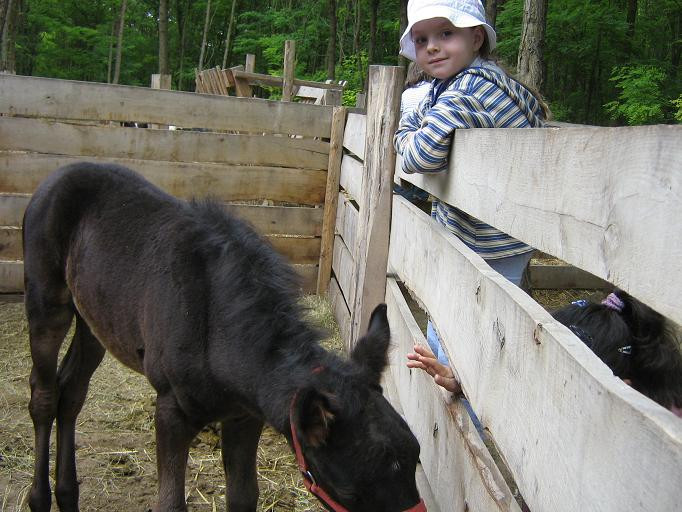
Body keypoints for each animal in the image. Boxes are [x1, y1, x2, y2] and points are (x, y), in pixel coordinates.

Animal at [23, 164, 424, 512]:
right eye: (352, 490)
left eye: (416, 456)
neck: (217, 331)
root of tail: (54, 177)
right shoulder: (171, 408)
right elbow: (171, 503)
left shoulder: (244, 417)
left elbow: (244, 498)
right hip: (47, 305)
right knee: (44, 394)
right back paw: (40, 499)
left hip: (94, 320)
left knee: (72, 391)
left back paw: (68, 496)